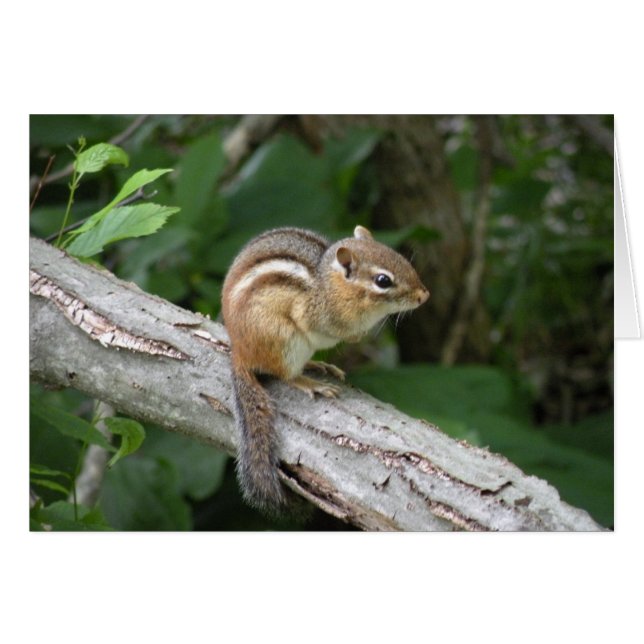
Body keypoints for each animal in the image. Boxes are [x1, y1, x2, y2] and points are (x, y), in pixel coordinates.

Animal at [222, 225, 429, 515]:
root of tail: (240, 354)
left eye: (399, 257)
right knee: (285, 374)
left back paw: (319, 365)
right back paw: (311, 383)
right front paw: (358, 335)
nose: (424, 295)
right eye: (383, 280)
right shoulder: (312, 315)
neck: (331, 285)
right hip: (286, 342)